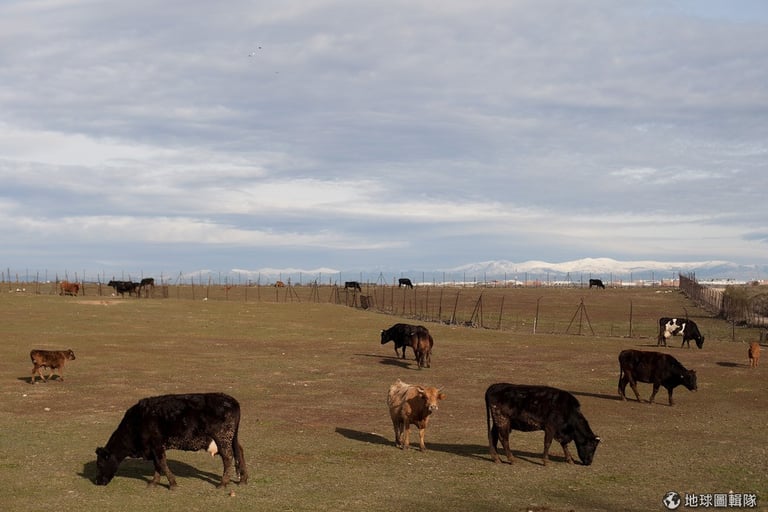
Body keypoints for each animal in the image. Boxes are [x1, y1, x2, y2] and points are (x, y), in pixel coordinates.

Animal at [94, 394, 248, 490]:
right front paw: (154, 482)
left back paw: (223, 483)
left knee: (228, 457)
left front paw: (172, 484)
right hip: (232, 438)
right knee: (239, 451)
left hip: (222, 438)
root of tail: (232, 401)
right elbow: (157, 464)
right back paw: (243, 480)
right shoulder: (153, 448)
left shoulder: (156, 445)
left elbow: (162, 463)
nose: (98, 481)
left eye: (100, 464)